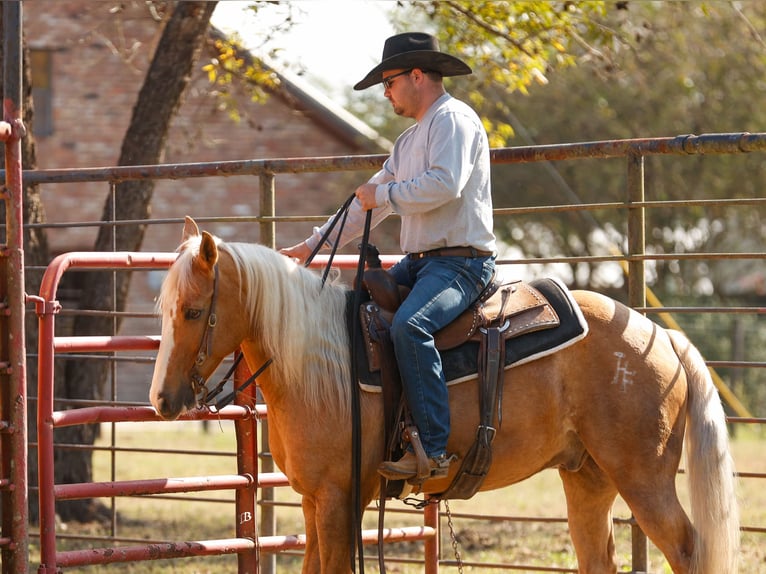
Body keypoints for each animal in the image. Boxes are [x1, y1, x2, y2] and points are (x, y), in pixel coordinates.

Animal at [149, 217, 739, 574]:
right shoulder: (316, 501)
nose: (161, 400)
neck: (321, 364)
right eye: (163, 308)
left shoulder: (340, 500)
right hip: (588, 479)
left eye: (194, 311)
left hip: (644, 479)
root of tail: (658, 334)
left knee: (687, 550)